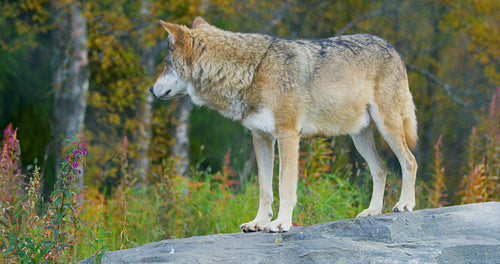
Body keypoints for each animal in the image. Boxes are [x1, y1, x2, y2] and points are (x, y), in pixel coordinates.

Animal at [151, 17, 418, 233]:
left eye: (165, 63)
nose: (151, 90)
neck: (252, 71)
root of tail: (393, 47)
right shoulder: (260, 137)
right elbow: (265, 188)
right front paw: (258, 222)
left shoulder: (287, 135)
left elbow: (285, 185)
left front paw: (280, 223)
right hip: (359, 138)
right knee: (381, 168)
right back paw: (372, 211)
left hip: (388, 127)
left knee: (409, 161)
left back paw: (405, 204)